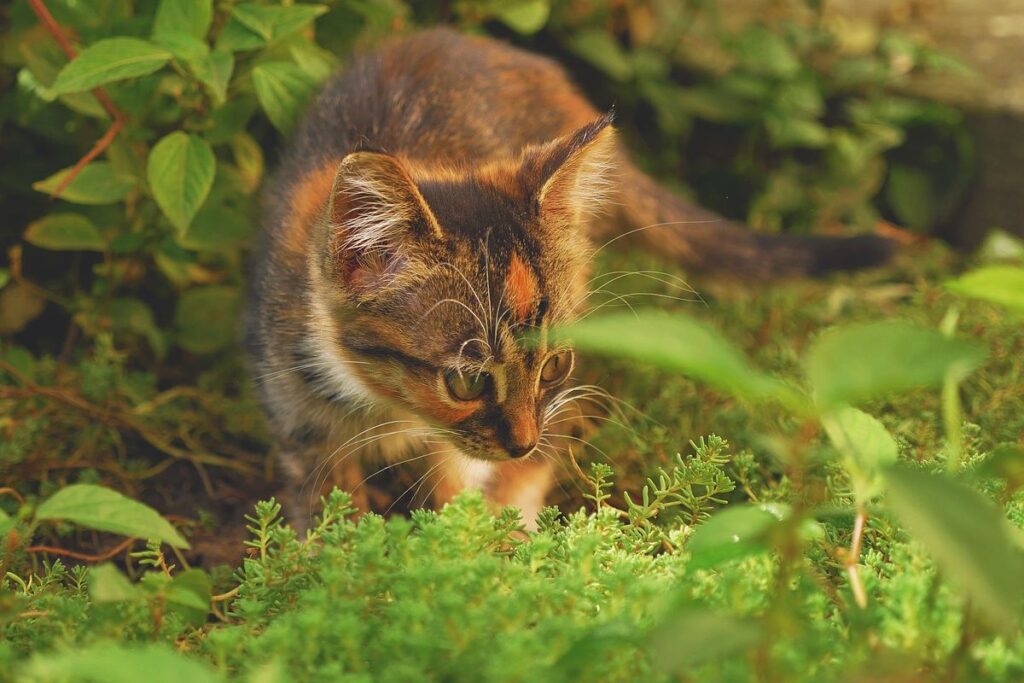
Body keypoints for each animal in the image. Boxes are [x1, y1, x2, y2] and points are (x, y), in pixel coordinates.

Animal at [245, 28, 888, 528]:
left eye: (554, 365)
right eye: (466, 381)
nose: (521, 440)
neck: (386, 406)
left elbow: (461, 504)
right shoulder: (296, 421)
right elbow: (328, 520)